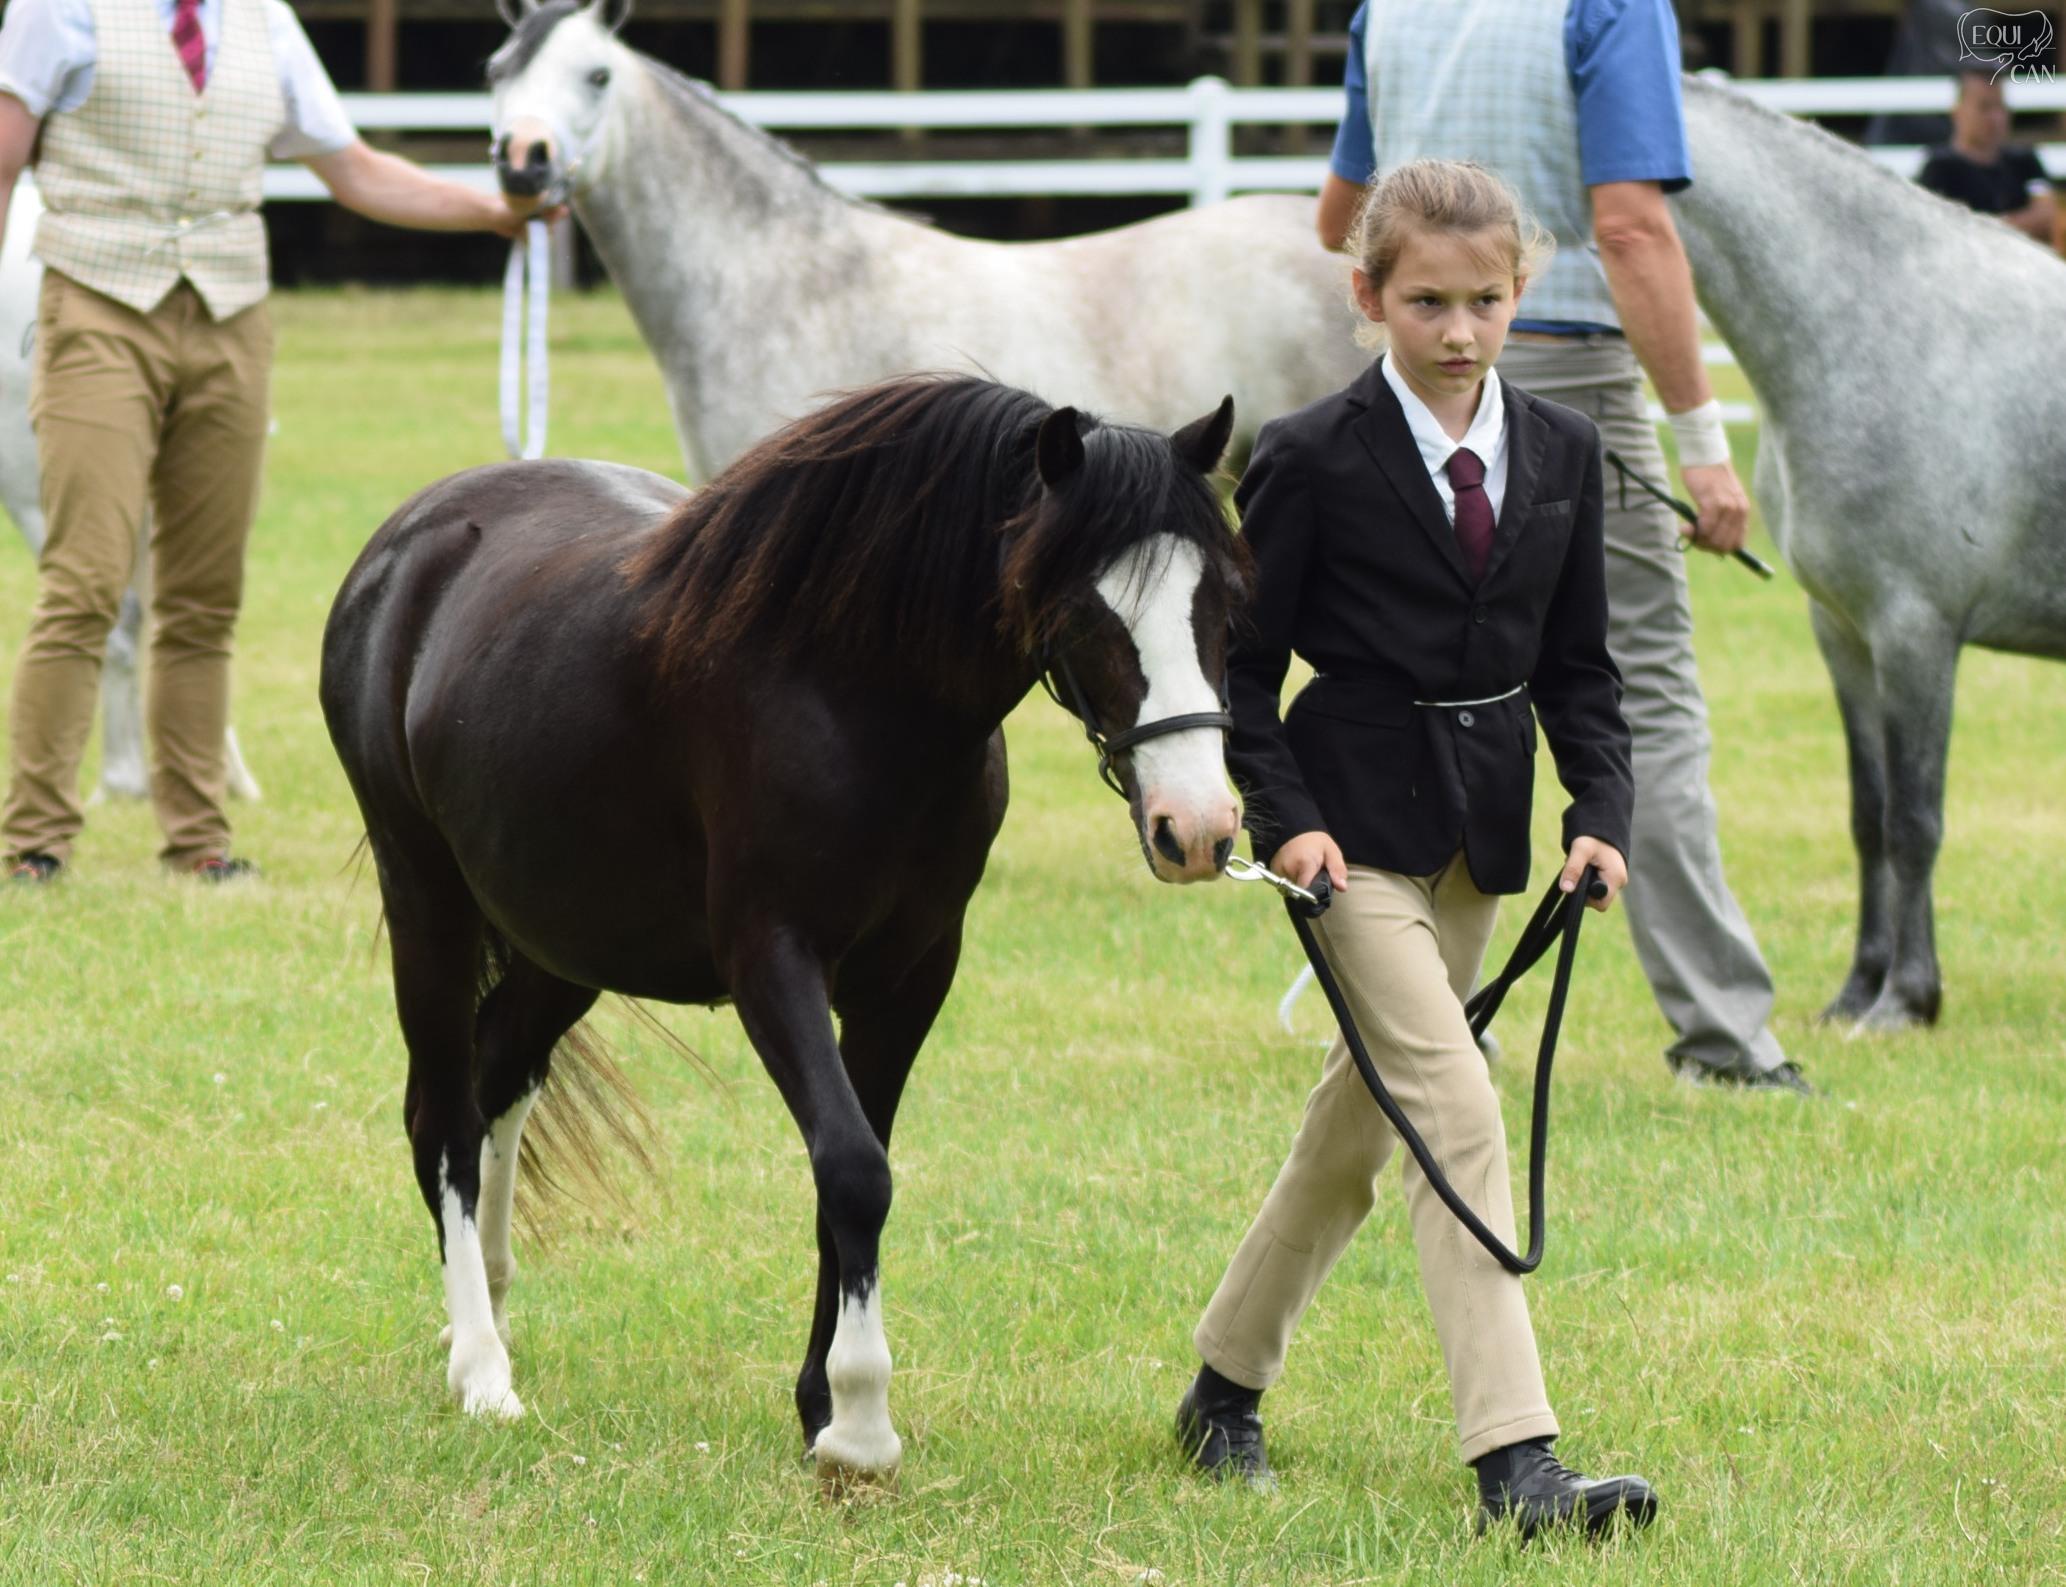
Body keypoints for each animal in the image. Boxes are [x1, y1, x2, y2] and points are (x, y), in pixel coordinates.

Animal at [319, 373, 1246, 1485]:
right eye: (1082, 607)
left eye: (1223, 599)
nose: (1198, 827)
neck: (852, 692)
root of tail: (405, 545)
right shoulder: (772, 959)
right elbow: (851, 1168)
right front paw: (860, 1425)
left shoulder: (911, 977)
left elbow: (850, 1177)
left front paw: (819, 1406)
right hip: (428, 898)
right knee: (446, 1118)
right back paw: (481, 1372)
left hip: (569, 934)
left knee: (501, 1071)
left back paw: (488, 1313)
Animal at [1674, 74, 2066, 1030]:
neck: (1876, 322)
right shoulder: (1842, 630)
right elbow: (1868, 812)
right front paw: (1858, 990)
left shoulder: (1914, 632)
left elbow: (1915, 819)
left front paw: (1909, 999)